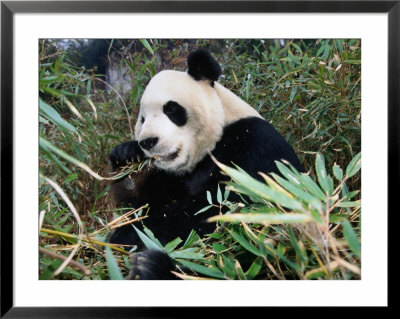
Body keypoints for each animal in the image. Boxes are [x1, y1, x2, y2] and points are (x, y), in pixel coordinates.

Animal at [108, 48, 302, 282]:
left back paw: (151, 267)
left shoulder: (255, 145)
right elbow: (140, 204)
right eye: (143, 119)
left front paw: (127, 236)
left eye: (171, 109)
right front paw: (127, 159)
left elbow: (223, 206)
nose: (148, 141)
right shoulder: (172, 177)